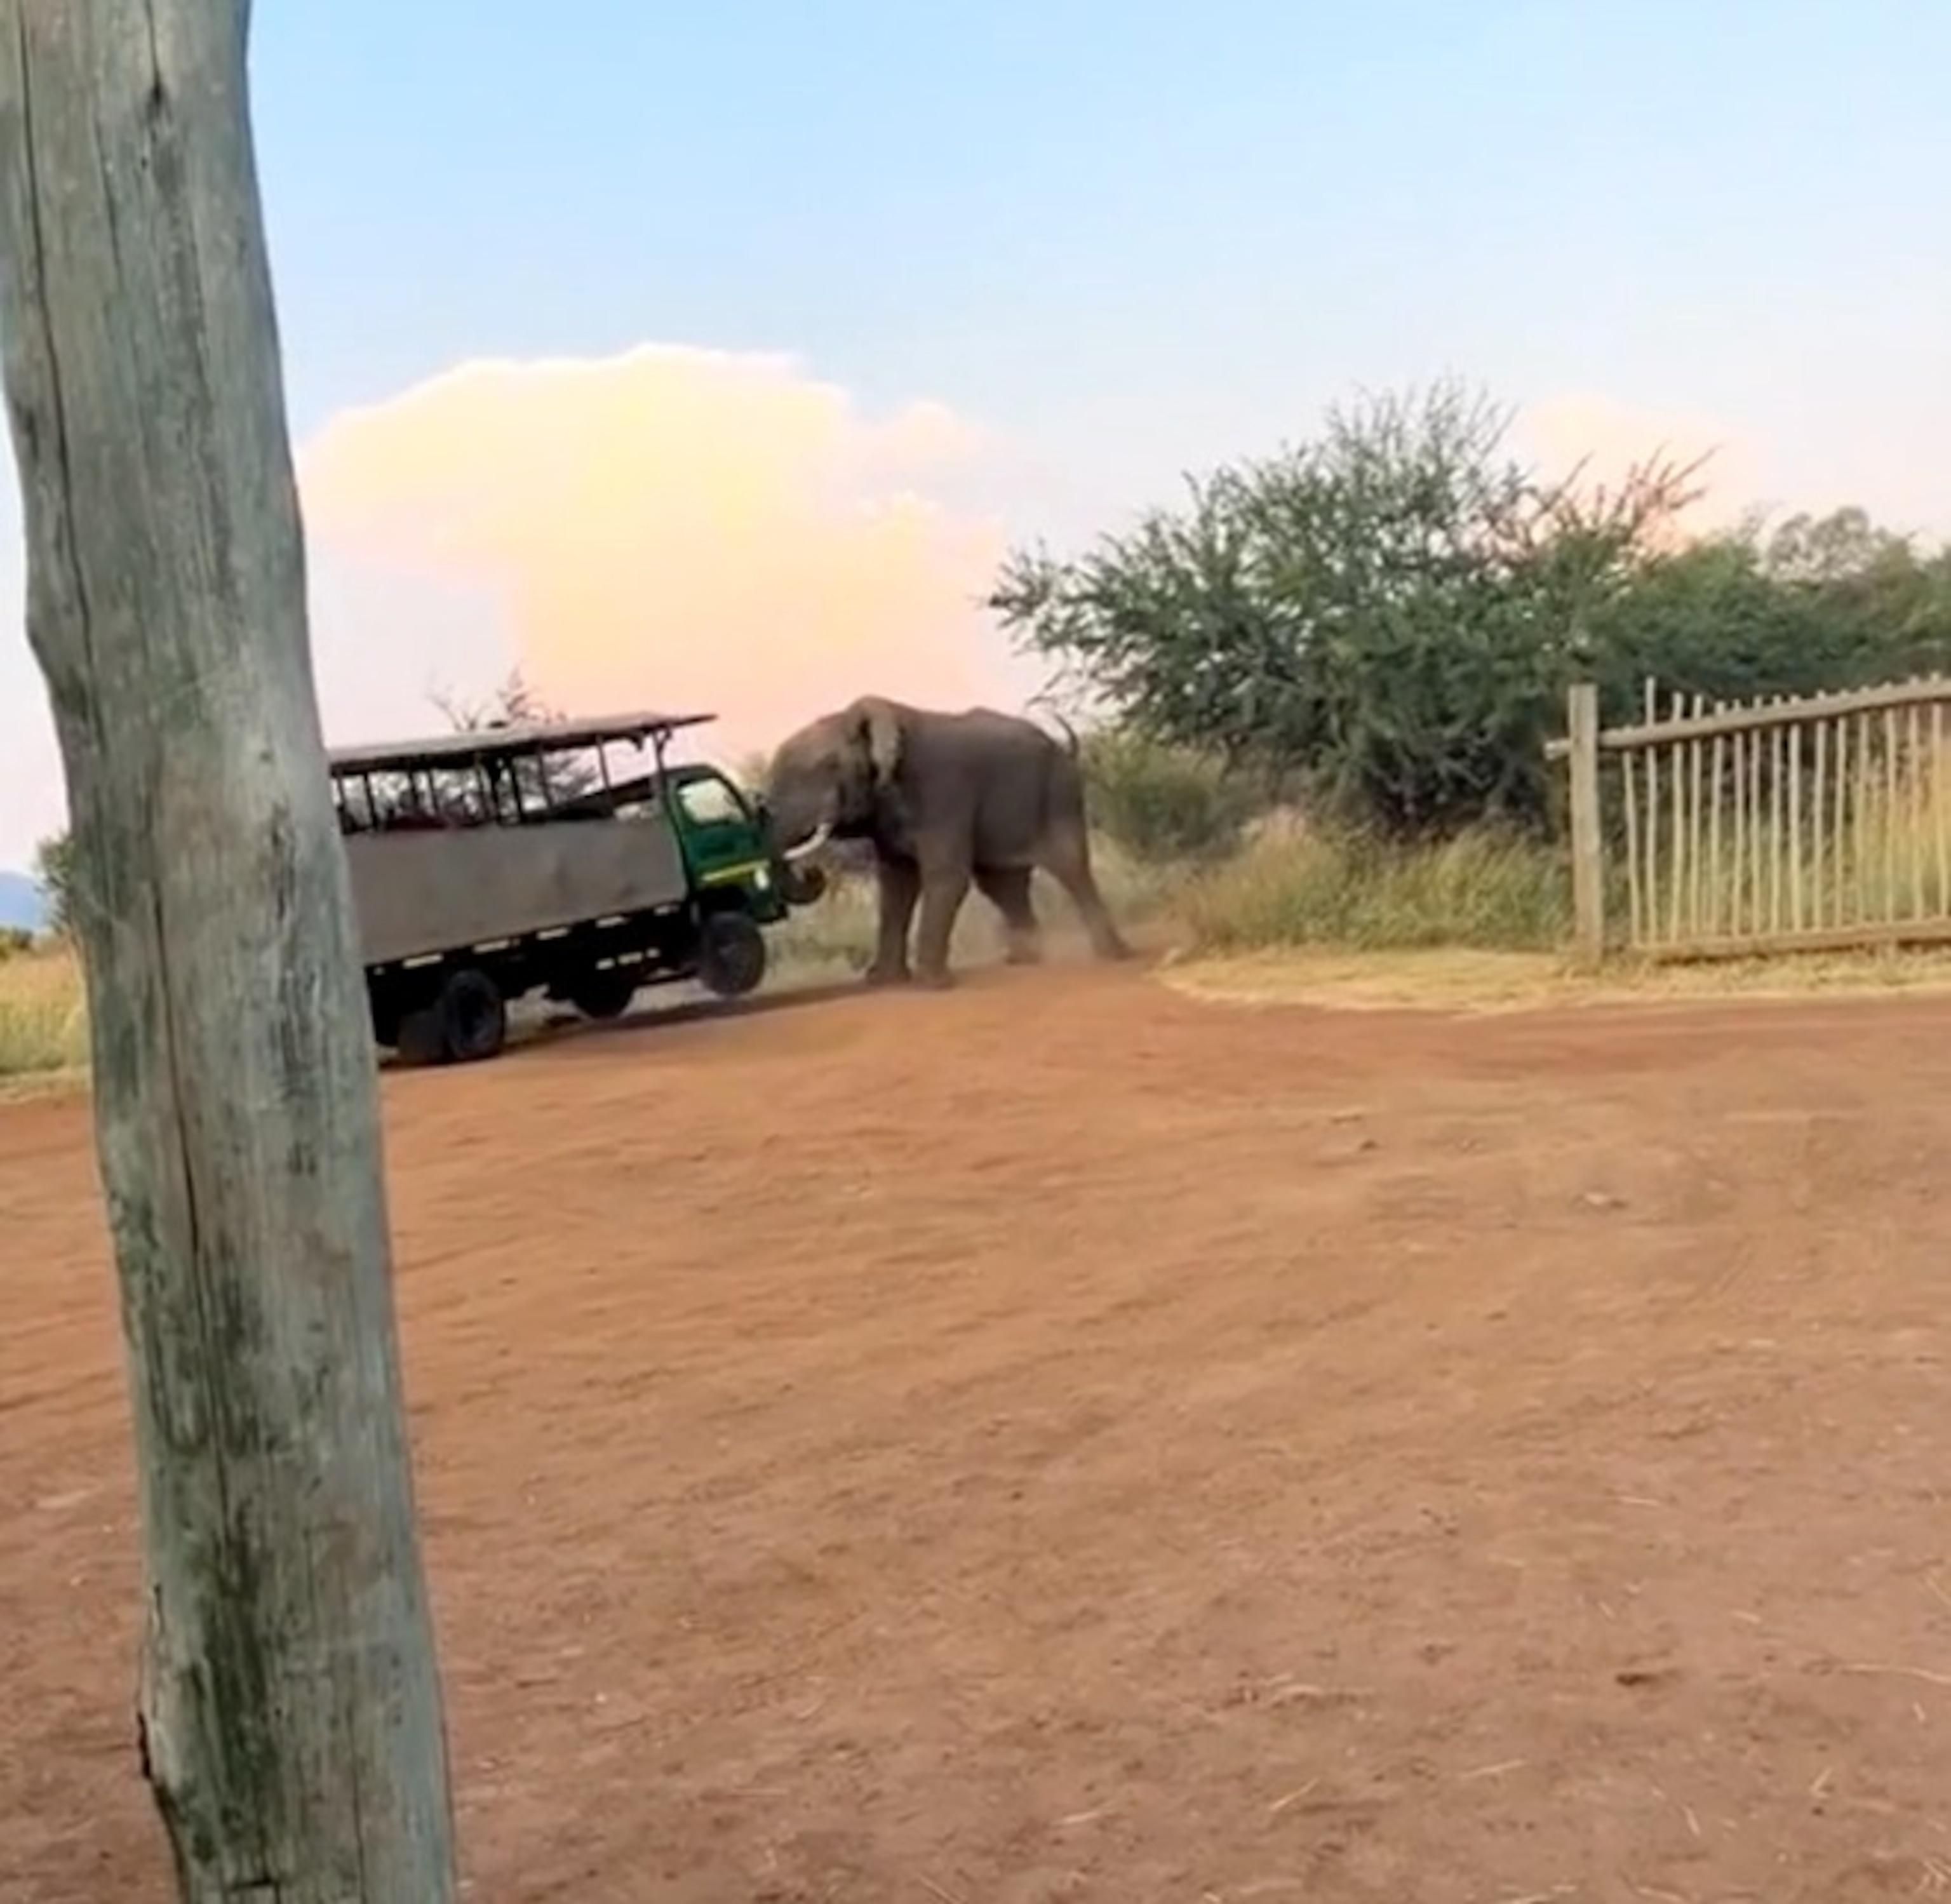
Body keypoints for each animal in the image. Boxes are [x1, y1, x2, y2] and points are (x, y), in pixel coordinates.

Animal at [756, 702, 1131, 995]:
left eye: (827, 768)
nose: (812, 870)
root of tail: (1063, 746)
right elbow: (896, 886)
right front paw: (884, 982)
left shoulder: (943, 791)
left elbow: (945, 875)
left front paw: (932, 985)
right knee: (1000, 884)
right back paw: (1026, 959)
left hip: (1060, 791)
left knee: (1070, 867)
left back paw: (1113, 955)